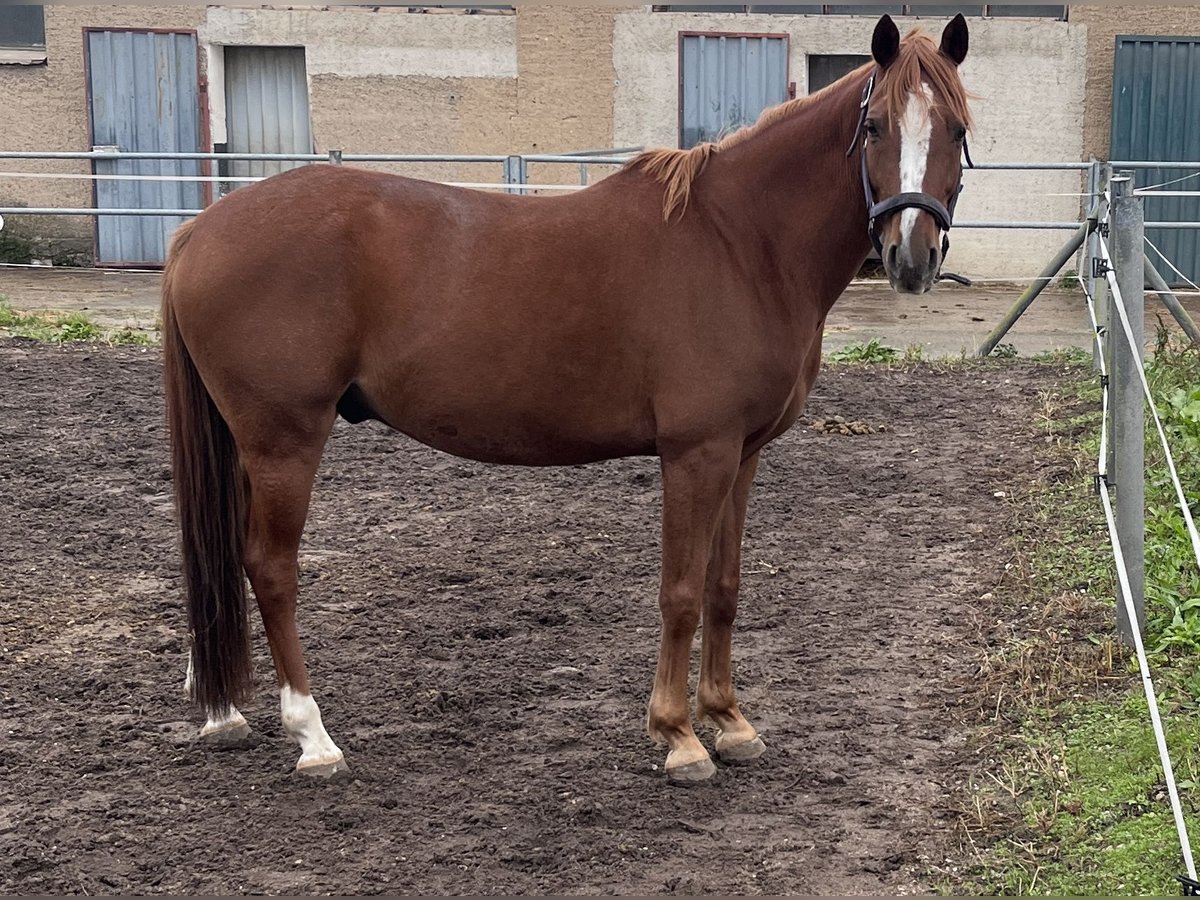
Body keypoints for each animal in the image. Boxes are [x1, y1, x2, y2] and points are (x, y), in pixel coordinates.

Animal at [164, 17, 974, 787]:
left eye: (958, 131)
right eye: (876, 126)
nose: (910, 257)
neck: (742, 244)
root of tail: (199, 230)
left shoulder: (741, 456)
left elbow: (724, 587)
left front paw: (730, 721)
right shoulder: (696, 453)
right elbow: (681, 591)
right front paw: (679, 736)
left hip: (248, 445)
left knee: (227, 559)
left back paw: (225, 714)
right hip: (284, 439)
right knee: (271, 568)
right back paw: (314, 738)